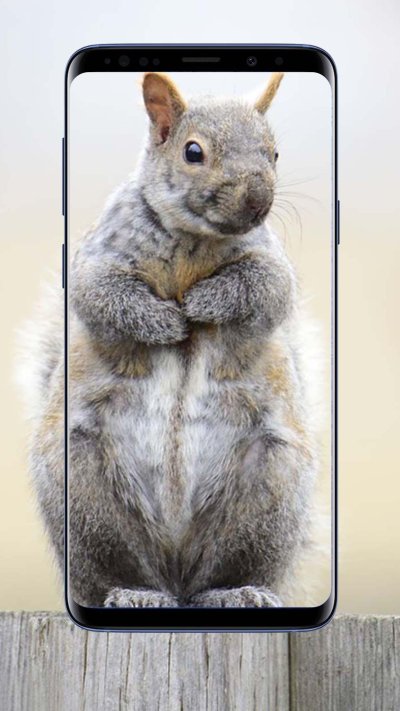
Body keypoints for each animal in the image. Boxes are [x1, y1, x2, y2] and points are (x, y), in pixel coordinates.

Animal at [22, 71, 320, 608]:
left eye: (274, 153)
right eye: (193, 151)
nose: (258, 201)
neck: (194, 242)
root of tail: (176, 566)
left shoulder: (271, 265)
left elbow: (265, 288)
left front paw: (204, 303)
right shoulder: (97, 258)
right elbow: (102, 295)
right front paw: (164, 322)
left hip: (270, 487)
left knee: (218, 572)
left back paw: (234, 592)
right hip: (83, 494)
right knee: (117, 573)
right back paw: (136, 593)